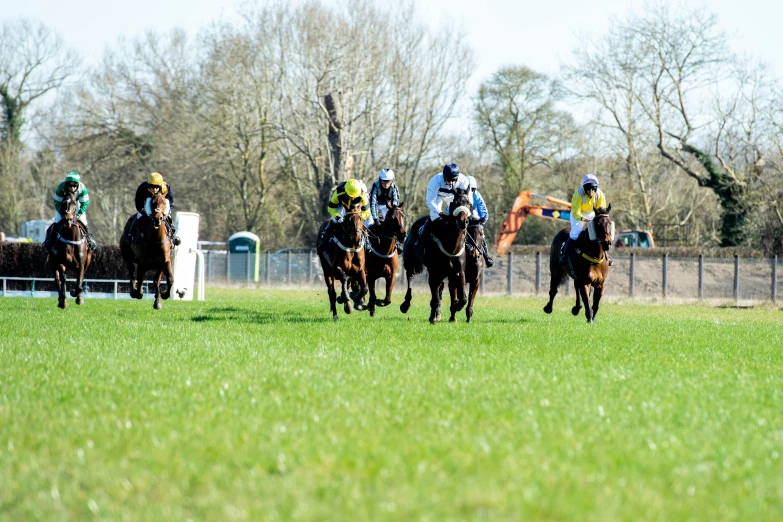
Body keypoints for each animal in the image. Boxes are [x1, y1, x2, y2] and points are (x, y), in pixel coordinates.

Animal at [398, 191, 472, 320]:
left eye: (468, 203)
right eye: (455, 202)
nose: (463, 221)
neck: (451, 247)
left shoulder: (459, 271)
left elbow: (463, 297)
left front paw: (456, 306)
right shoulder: (434, 271)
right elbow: (435, 295)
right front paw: (434, 315)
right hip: (411, 263)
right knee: (410, 277)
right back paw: (406, 305)